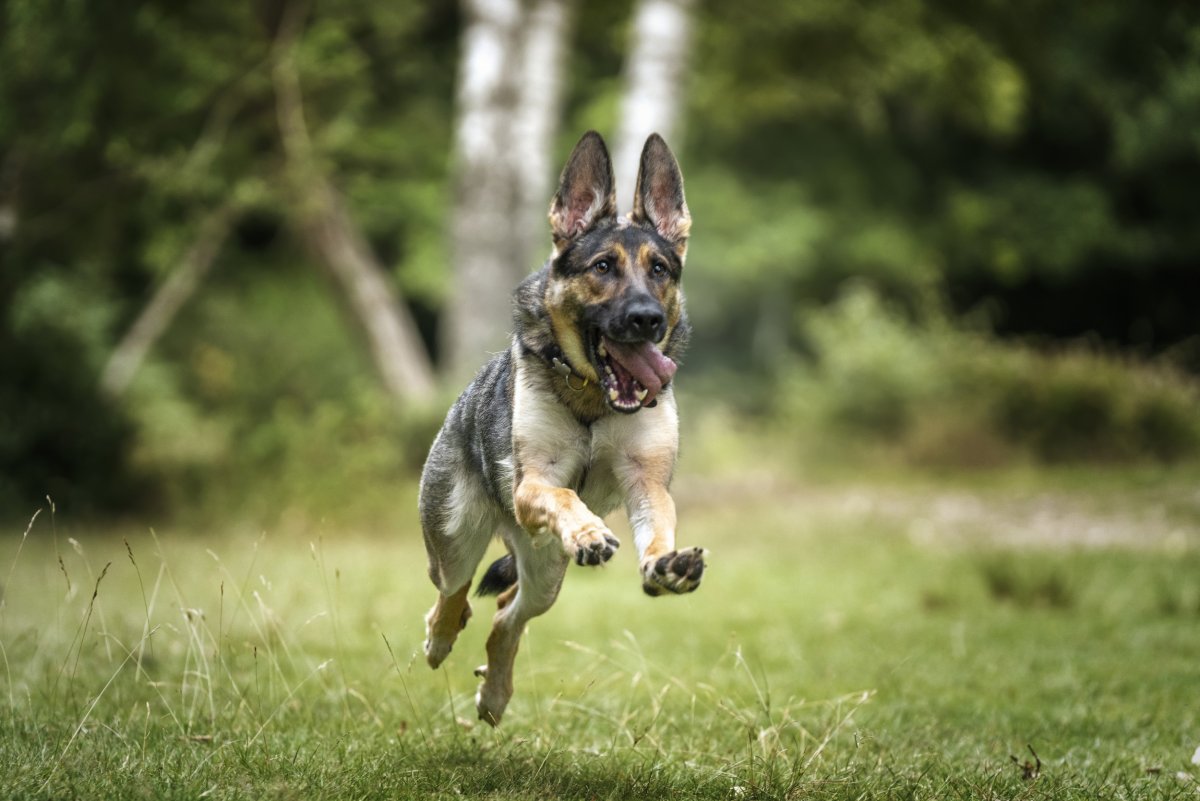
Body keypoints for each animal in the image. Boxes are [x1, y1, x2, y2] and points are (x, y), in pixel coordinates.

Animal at [420, 130, 700, 724]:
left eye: (659, 270)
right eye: (603, 267)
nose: (647, 319)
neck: (594, 396)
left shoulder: (646, 483)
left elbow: (657, 526)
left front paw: (665, 564)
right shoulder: (534, 484)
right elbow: (567, 495)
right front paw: (589, 532)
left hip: (545, 572)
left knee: (507, 613)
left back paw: (494, 694)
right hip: (455, 536)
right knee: (453, 594)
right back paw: (440, 638)